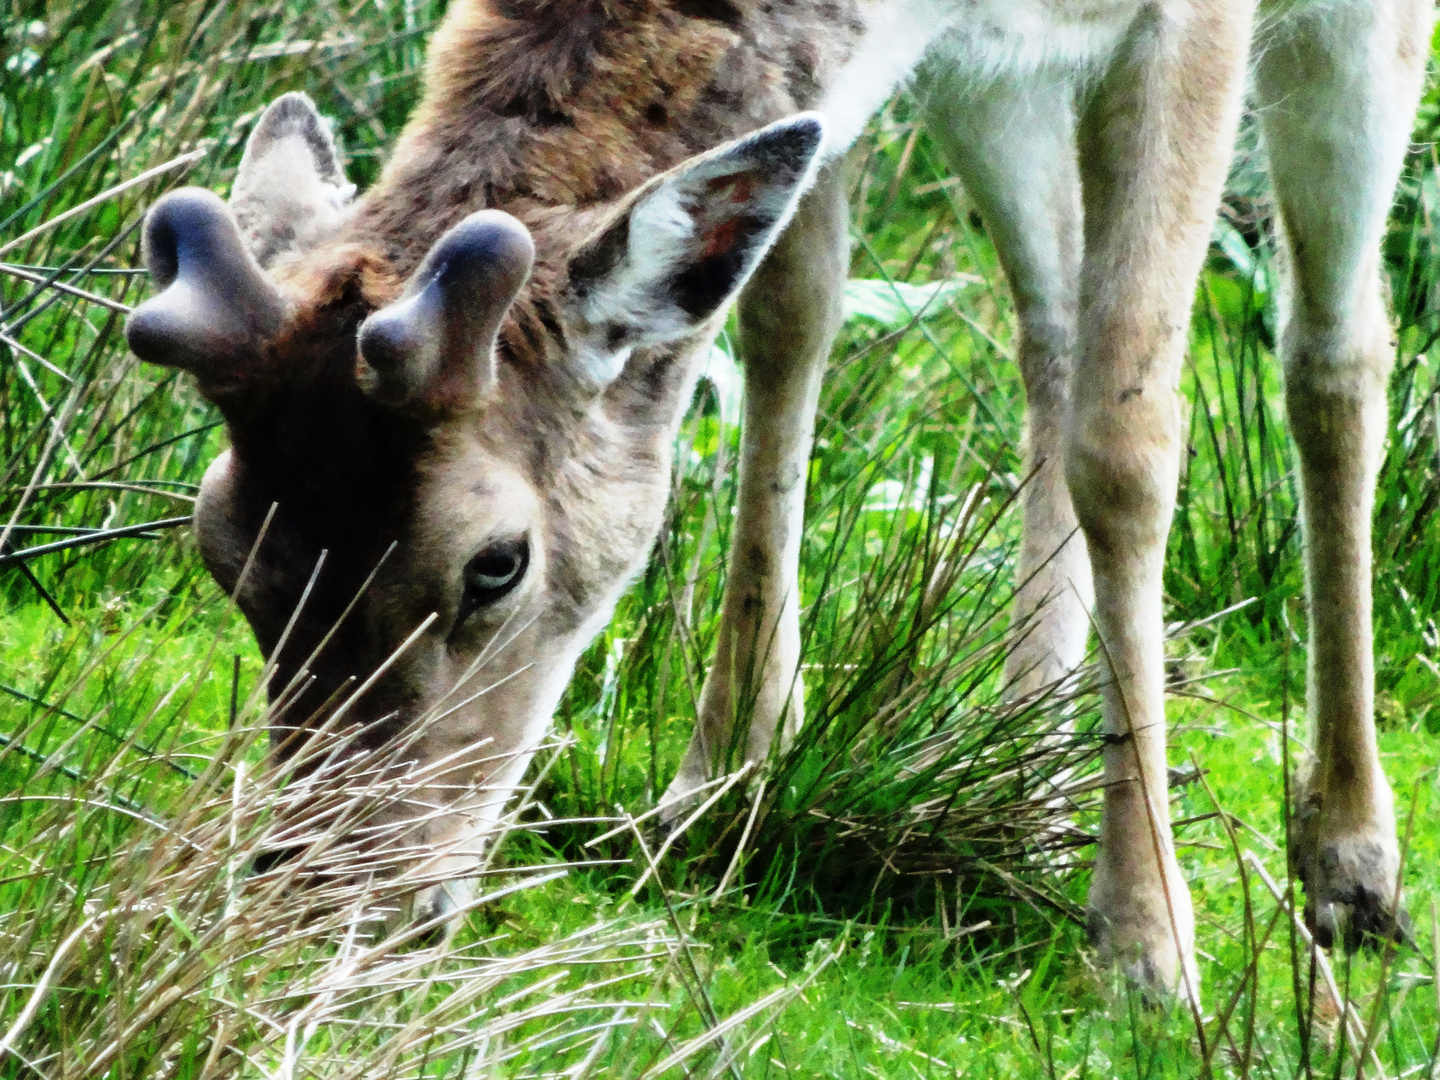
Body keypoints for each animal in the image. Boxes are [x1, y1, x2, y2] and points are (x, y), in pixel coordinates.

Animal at [123, 0, 1428, 1008]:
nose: (322, 903)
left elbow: (1133, 438)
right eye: (221, 547)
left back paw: (1351, 862)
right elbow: (787, 318)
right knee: (1049, 316)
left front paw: (1148, 950)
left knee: (1338, 349)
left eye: (496, 561)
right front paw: (721, 778)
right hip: (1000, 77)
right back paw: (1029, 781)